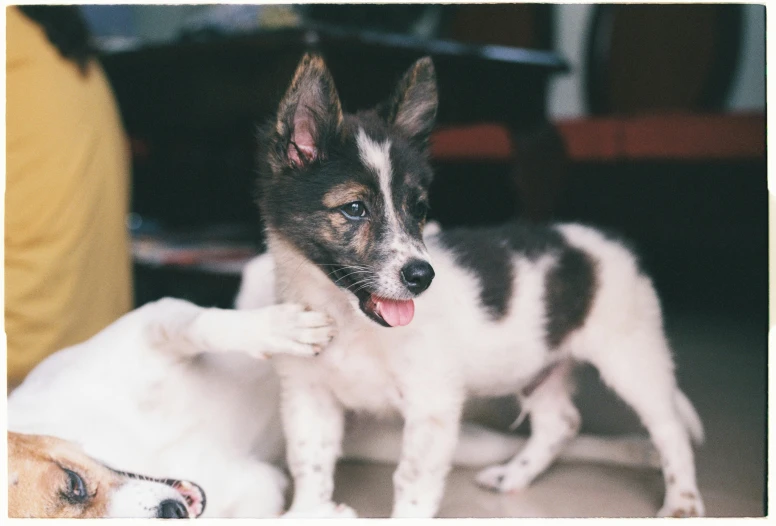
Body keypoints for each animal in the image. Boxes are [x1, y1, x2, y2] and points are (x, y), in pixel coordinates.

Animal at [6, 256, 660, 520]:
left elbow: (200, 322)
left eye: (72, 484)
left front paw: (280, 329)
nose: (170, 511)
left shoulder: (156, 321)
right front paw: (321, 511)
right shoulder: (257, 490)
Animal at [258, 52, 708, 520]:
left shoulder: (432, 403)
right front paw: (308, 512)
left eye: (418, 209)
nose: (422, 277)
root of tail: (611, 242)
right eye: (354, 208)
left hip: (632, 357)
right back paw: (514, 476)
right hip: (541, 364)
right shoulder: (308, 396)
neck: (349, 319)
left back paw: (682, 500)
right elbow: (310, 465)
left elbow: (412, 480)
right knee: (561, 424)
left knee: (669, 427)